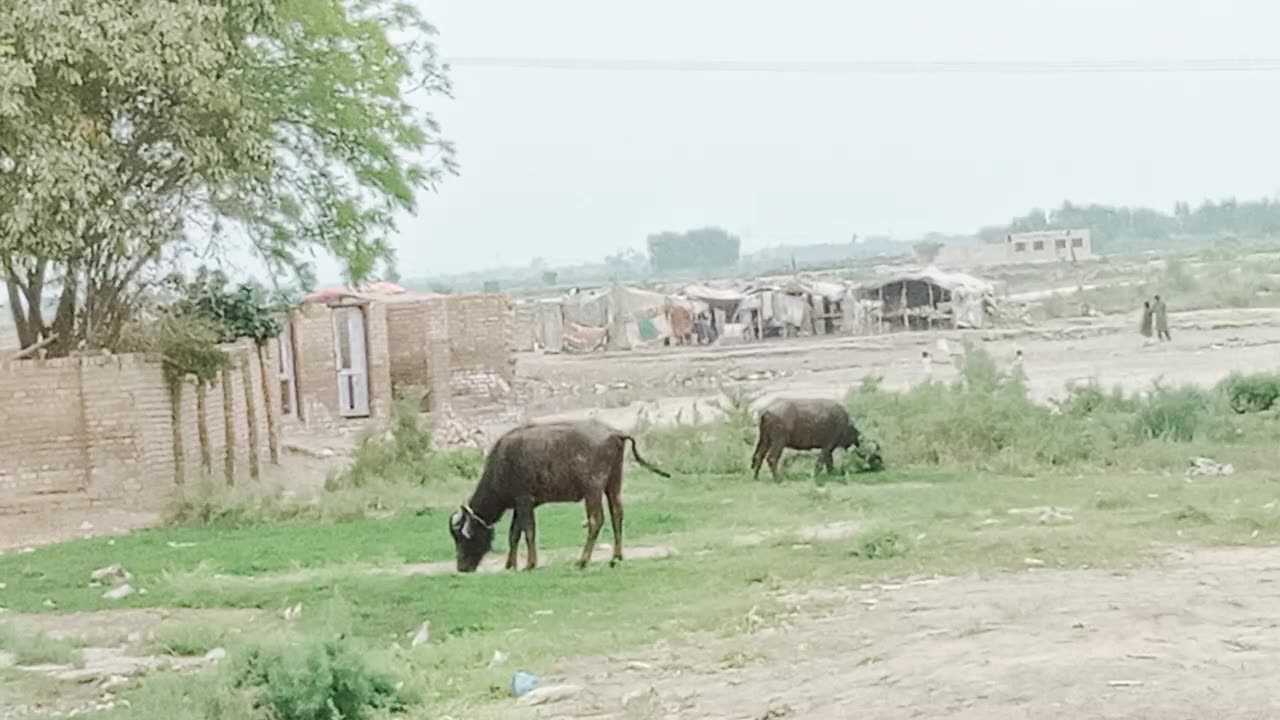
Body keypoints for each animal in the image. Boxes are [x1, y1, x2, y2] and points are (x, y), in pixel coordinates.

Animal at [450, 417, 670, 568]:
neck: (502, 462)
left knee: (595, 521)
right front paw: (510, 565)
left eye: (462, 538)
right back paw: (616, 557)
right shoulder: (520, 505)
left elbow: (529, 532)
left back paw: (583, 561)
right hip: (613, 485)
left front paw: (530, 564)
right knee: (617, 514)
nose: (461, 568)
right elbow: (514, 534)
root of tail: (615, 432)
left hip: (592, 490)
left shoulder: (524, 500)